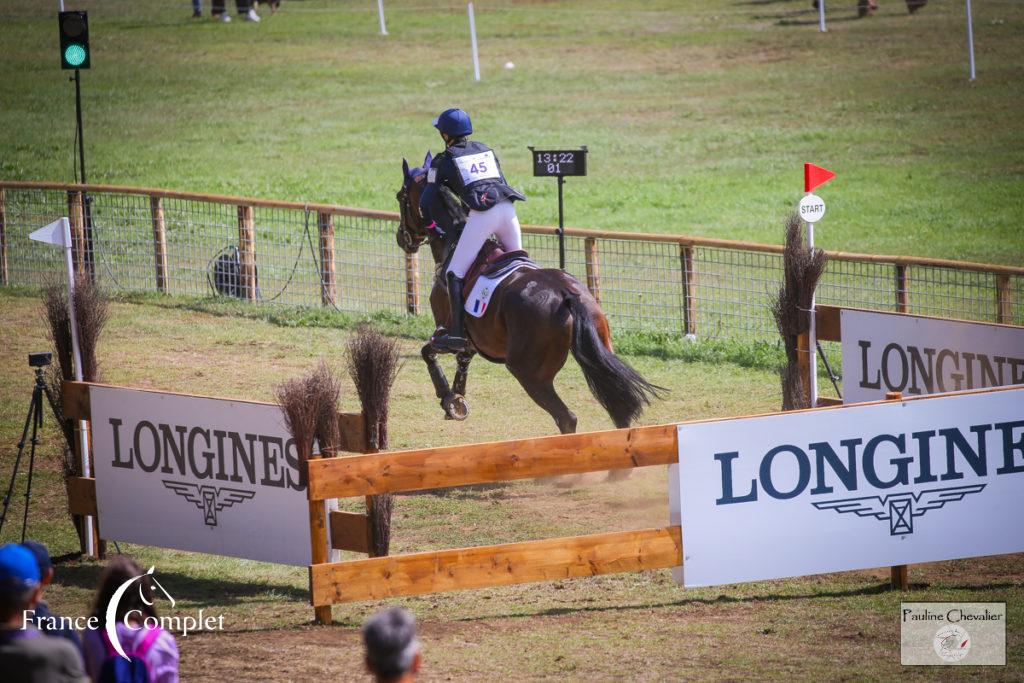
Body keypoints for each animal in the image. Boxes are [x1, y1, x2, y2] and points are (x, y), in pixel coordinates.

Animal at [391, 153, 663, 432]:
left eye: (400, 196)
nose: (402, 238)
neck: (452, 240)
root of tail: (567, 296)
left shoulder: (445, 331)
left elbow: (428, 352)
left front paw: (448, 398)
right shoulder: (472, 340)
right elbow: (463, 360)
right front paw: (457, 401)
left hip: (528, 372)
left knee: (566, 417)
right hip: (600, 349)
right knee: (619, 411)